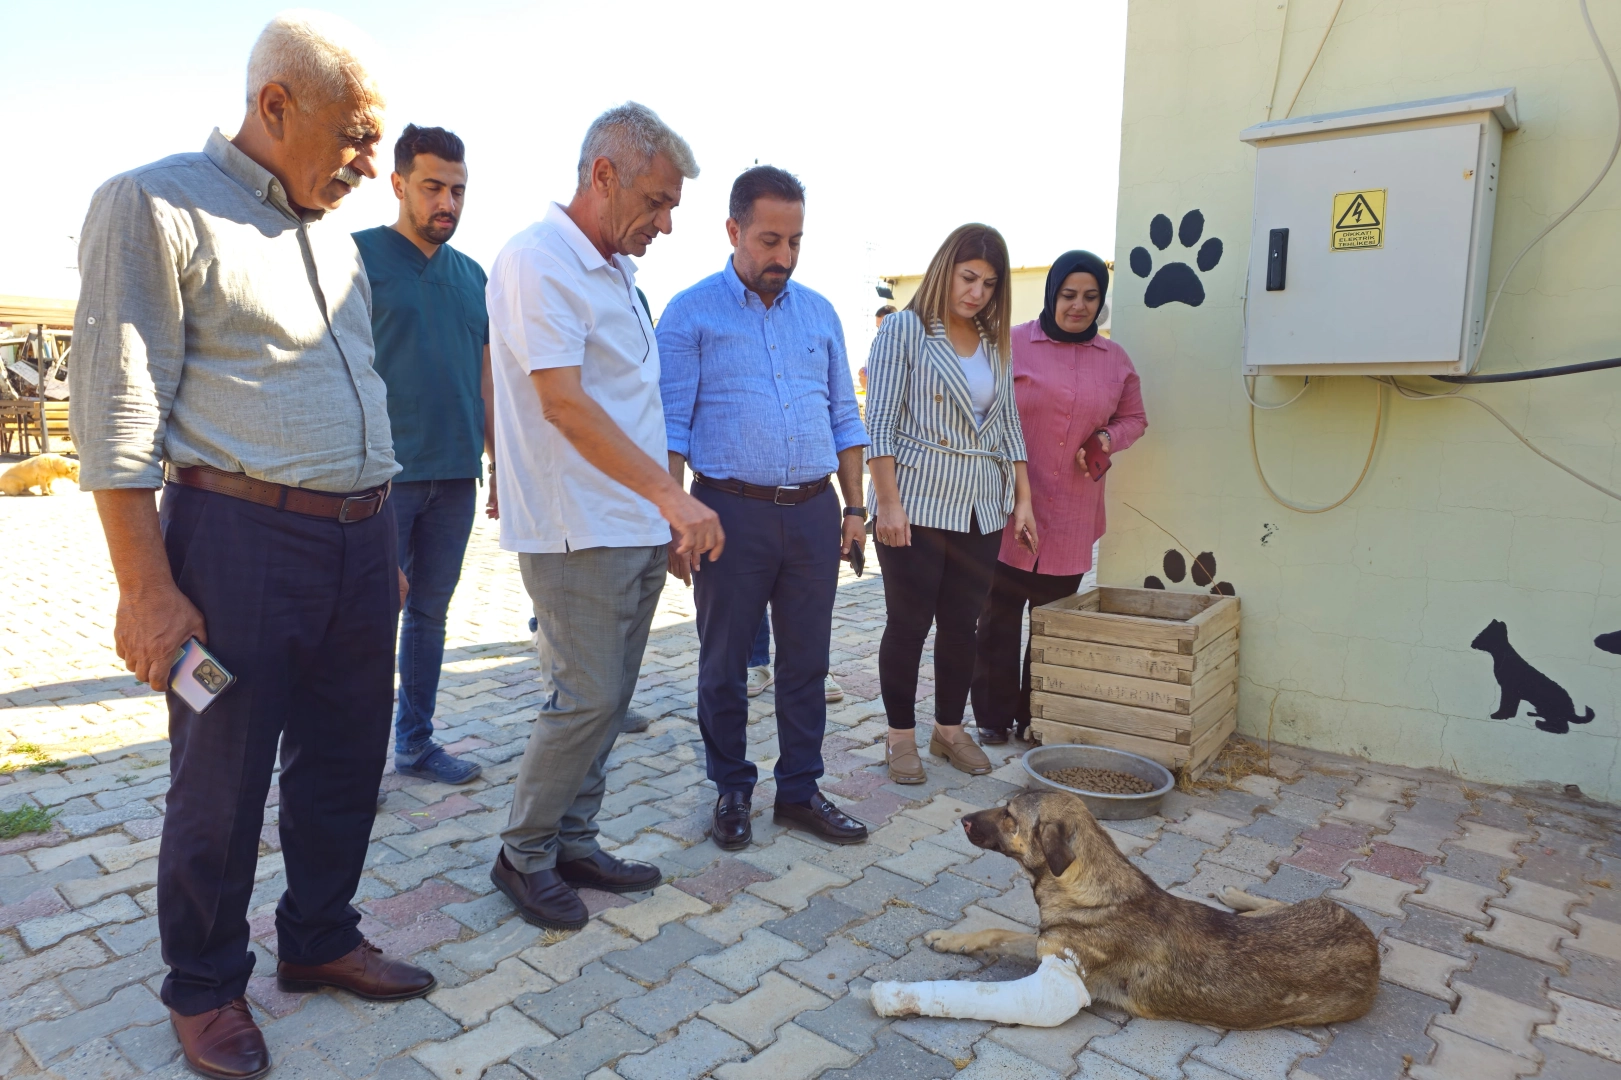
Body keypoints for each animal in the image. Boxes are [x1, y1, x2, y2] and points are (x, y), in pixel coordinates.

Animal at [901, 791, 1381, 1024]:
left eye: (1008, 814)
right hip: (1289, 911)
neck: (1091, 888)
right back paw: (1234, 895)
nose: (962, 819)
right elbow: (995, 931)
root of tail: (1369, 941)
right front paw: (952, 939)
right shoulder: (1045, 943)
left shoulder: (1058, 960)